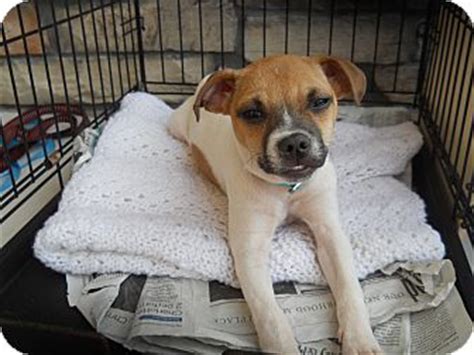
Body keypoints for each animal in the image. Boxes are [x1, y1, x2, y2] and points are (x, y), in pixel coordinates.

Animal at [168, 54, 384, 354]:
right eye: (252, 113)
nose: (294, 143)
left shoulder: (329, 231)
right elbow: (268, 312)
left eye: (320, 101)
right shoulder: (250, 248)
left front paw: (360, 340)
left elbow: (349, 287)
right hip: (175, 125)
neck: (287, 189)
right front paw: (282, 346)